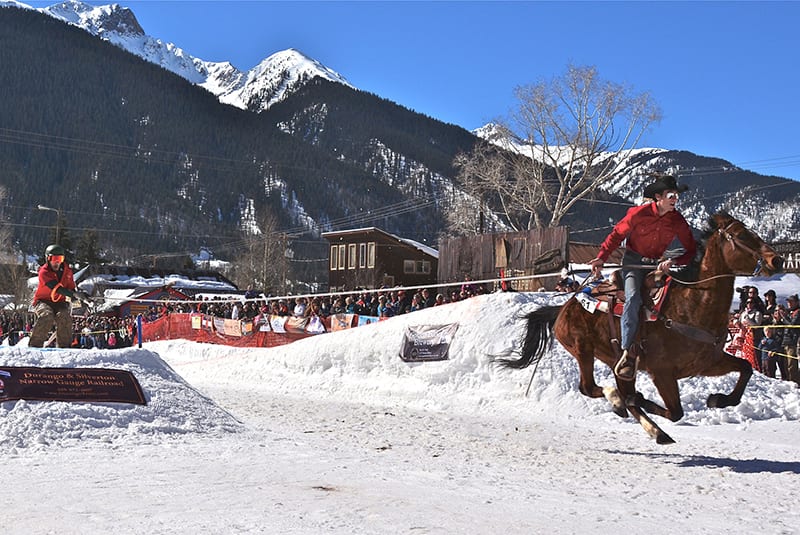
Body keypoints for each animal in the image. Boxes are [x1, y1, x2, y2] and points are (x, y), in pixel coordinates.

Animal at [504, 214, 784, 444]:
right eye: (741, 235)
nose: (777, 259)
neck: (692, 303)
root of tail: (564, 306)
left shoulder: (708, 363)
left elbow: (746, 368)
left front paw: (719, 399)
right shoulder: (663, 373)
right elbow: (675, 411)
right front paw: (641, 401)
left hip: (617, 363)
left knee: (617, 387)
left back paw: (650, 426)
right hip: (583, 350)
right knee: (589, 388)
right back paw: (622, 404)